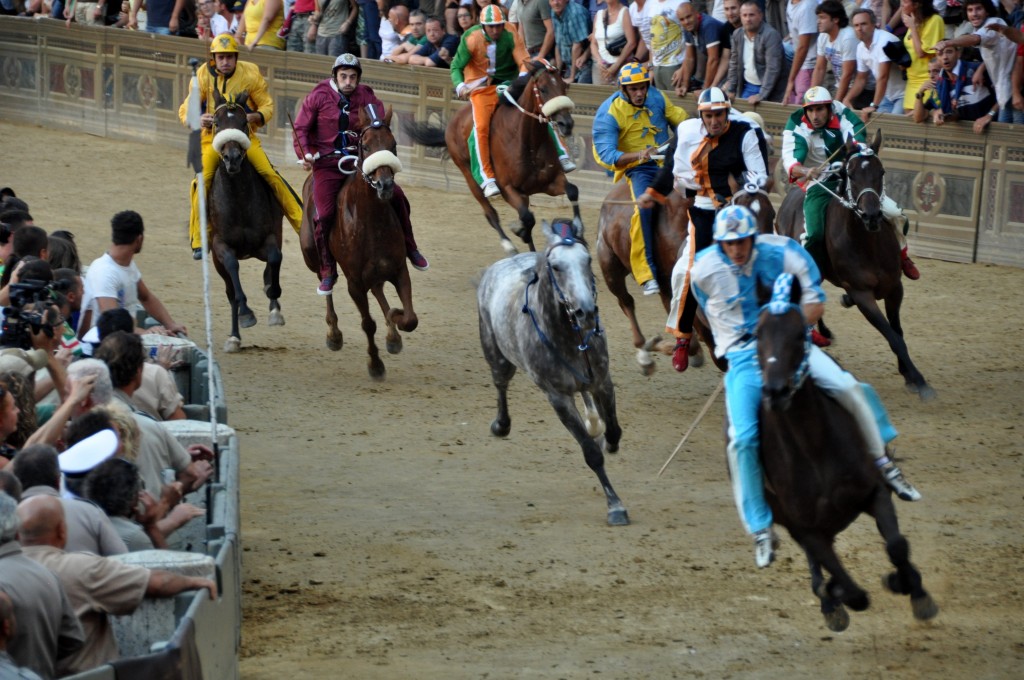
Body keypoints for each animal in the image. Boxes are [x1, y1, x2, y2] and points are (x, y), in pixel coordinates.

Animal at [206, 88, 284, 352]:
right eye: (216, 123)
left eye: (243, 123)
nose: (232, 158)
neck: (238, 200)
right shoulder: (220, 246)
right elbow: (233, 268)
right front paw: (247, 313)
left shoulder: (269, 236)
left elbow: (275, 258)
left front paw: (274, 305)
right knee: (230, 292)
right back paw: (234, 336)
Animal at [407, 60, 585, 255]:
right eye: (543, 89)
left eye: (564, 86)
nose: (566, 124)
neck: (528, 142)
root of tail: (451, 125)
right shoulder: (507, 188)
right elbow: (527, 217)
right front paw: (520, 231)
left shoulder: (548, 182)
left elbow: (572, 190)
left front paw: (578, 228)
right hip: (470, 177)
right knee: (490, 213)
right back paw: (509, 245)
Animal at [475, 218, 626, 524]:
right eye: (556, 266)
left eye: (588, 259)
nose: (586, 312)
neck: (568, 337)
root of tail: (501, 265)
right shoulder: (558, 398)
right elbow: (591, 453)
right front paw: (615, 506)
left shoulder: (602, 381)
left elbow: (614, 430)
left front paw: (606, 438)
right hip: (497, 356)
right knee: (500, 384)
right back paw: (501, 424)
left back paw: (594, 421)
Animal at [757, 272, 937, 630]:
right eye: (756, 336)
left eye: (798, 334)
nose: (776, 391)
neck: (814, 448)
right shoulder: (806, 528)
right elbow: (845, 585)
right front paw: (837, 596)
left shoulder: (875, 492)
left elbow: (897, 546)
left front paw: (912, 589)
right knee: (819, 566)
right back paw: (830, 601)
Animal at [774, 130, 937, 401]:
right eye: (850, 174)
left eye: (881, 171)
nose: (871, 215)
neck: (867, 245)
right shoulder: (863, 295)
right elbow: (892, 336)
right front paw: (920, 380)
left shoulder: (895, 288)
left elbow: (898, 331)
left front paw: (908, 373)